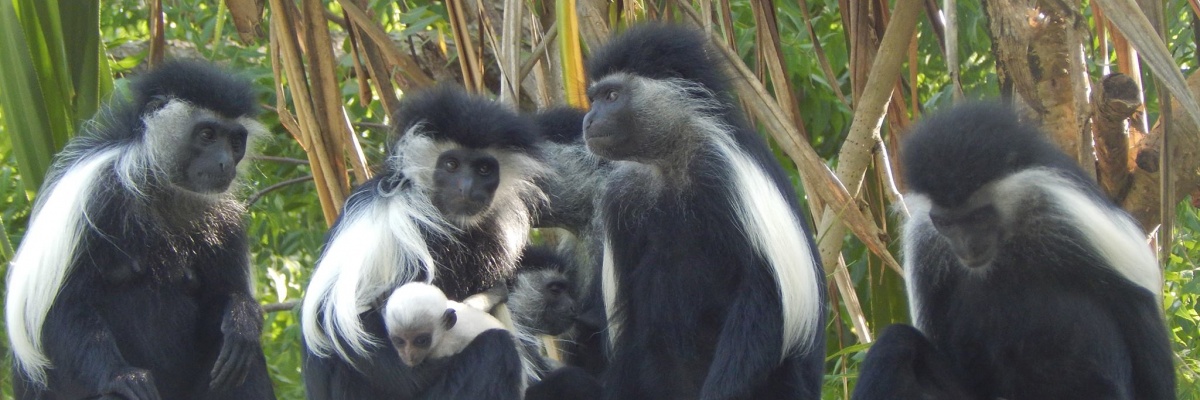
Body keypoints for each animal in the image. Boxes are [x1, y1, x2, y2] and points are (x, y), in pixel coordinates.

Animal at [7, 60, 274, 398]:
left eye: (235, 142)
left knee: (242, 361)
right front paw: (121, 376)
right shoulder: (92, 196)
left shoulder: (226, 221)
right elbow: (58, 309)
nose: (225, 162)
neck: (160, 185)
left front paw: (242, 320)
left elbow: (222, 296)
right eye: (207, 134)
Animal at [300, 85, 549, 396]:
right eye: (451, 164)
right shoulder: (393, 225)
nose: (467, 188)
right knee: (496, 347)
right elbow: (348, 328)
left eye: (484, 169)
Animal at [580, 24, 825, 396]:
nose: (588, 119)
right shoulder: (620, 197)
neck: (669, 160)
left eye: (611, 96)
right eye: (594, 98)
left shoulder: (721, 170)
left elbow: (764, 293)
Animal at [854, 103, 1180, 398]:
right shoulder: (925, 240)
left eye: (978, 217)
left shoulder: (1062, 210)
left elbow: (1137, 305)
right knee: (897, 343)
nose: (967, 246)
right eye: (945, 223)